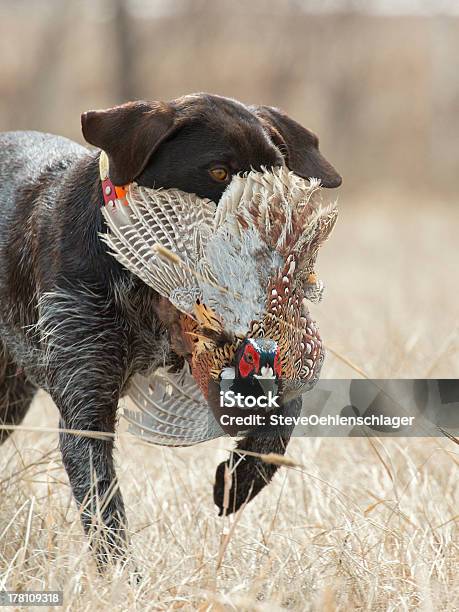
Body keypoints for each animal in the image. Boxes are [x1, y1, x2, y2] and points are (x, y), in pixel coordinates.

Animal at [0, 93, 342, 568]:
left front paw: (241, 479)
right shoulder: (86, 403)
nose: (273, 234)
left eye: (276, 170)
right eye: (218, 171)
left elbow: (285, 411)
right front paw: (123, 578)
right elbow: (104, 509)